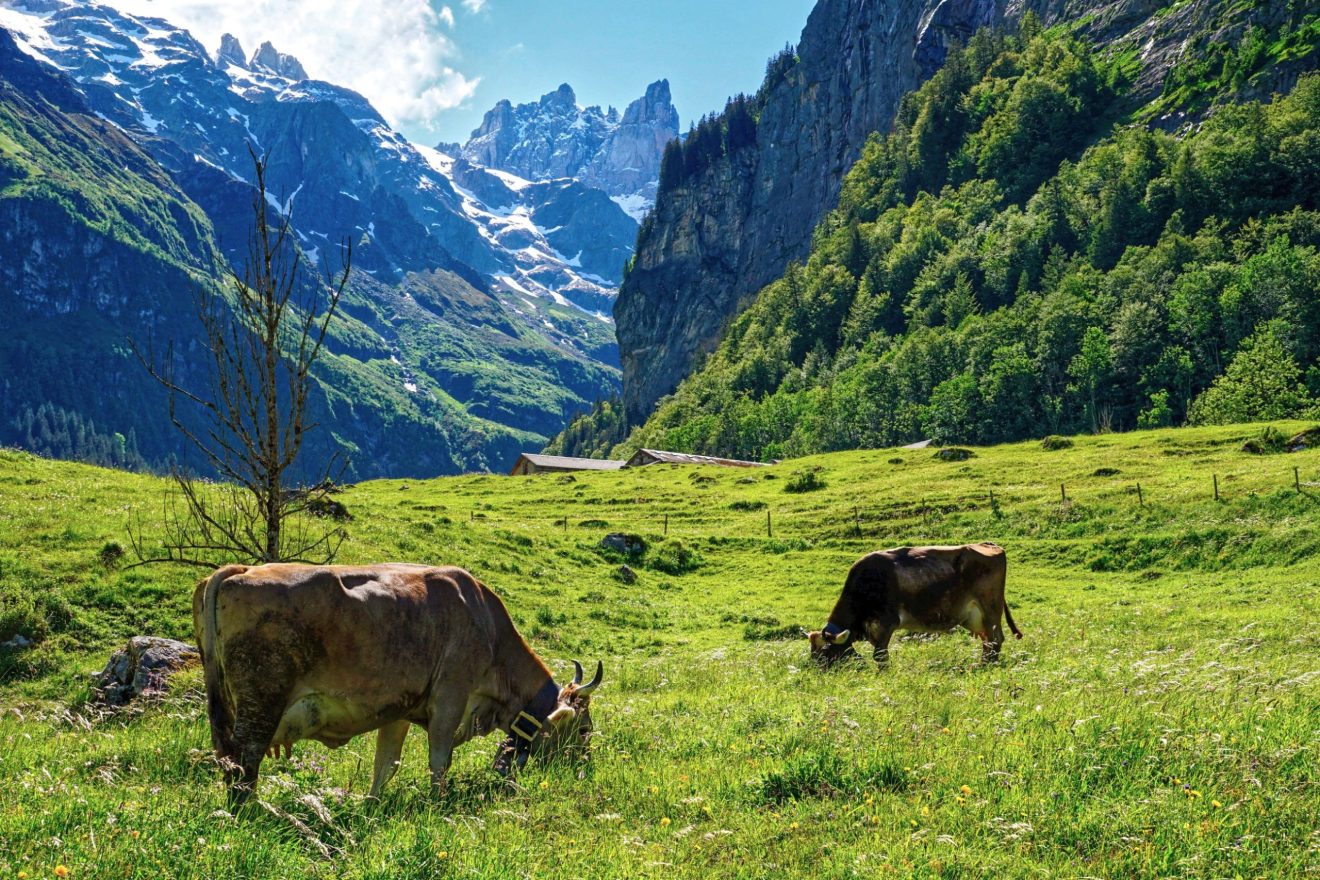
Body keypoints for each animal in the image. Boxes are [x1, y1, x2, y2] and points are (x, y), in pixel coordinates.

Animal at [191, 562, 603, 808]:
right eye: (584, 729)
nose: (586, 769)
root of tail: (240, 571)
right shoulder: (450, 700)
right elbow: (439, 760)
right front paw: (437, 805)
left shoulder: (400, 709)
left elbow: (385, 764)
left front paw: (371, 806)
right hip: (263, 701)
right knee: (246, 757)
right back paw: (250, 810)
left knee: (227, 756)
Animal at [806, 543, 1022, 668]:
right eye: (812, 650)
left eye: (824, 651)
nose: (813, 671)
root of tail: (990, 545)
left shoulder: (886, 623)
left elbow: (880, 656)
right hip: (976, 617)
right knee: (988, 642)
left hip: (990, 607)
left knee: (995, 639)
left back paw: (986, 667)